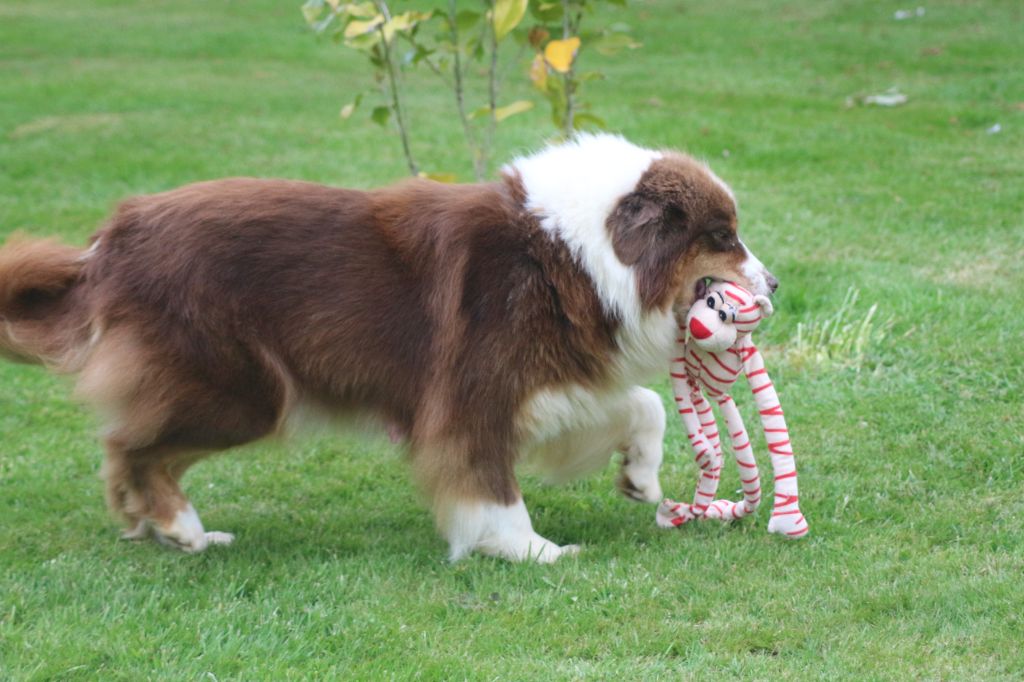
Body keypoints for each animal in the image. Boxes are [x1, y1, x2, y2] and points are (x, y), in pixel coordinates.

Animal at [0, 131, 770, 557]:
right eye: (724, 237)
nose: (776, 284)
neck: (573, 252)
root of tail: (111, 239)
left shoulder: (552, 381)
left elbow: (644, 404)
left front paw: (639, 476)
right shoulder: (471, 396)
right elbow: (491, 486)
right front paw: (531, 550)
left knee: (130, 447)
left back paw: (158, 529)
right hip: (244, 392)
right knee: (129, 444)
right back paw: (181, 527)